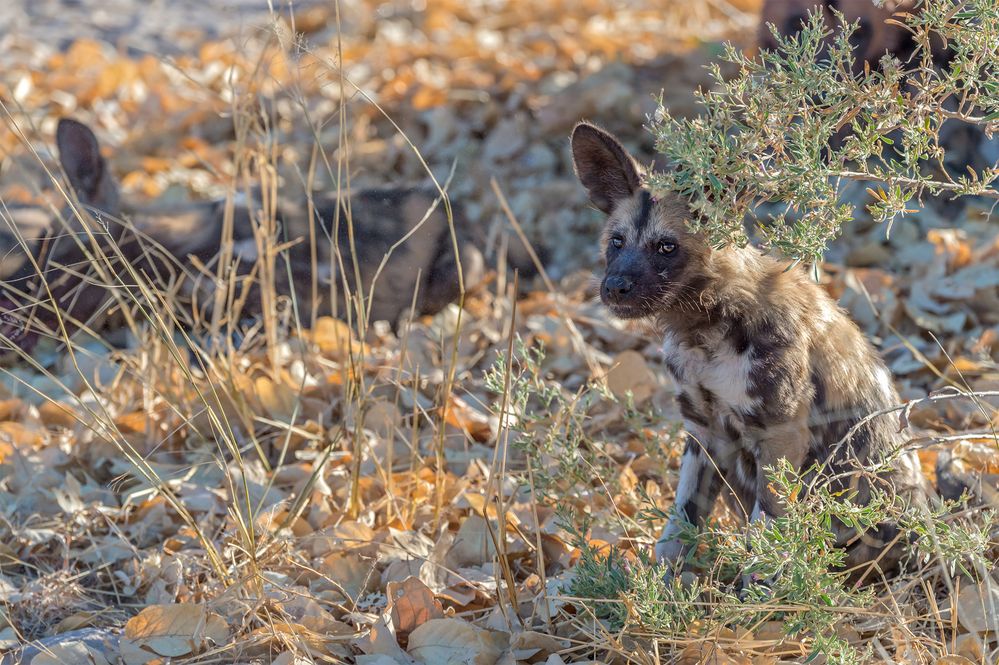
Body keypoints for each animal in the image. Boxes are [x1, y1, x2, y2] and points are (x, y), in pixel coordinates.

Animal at [576, 122, 932, 580]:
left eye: (666, 247)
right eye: (617, 242)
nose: (615, 286)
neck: (707, 328)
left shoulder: (780, 437)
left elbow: (765, 538)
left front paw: (759, 596)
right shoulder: (703, 433)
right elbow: (679, 527)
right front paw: (663, 584)